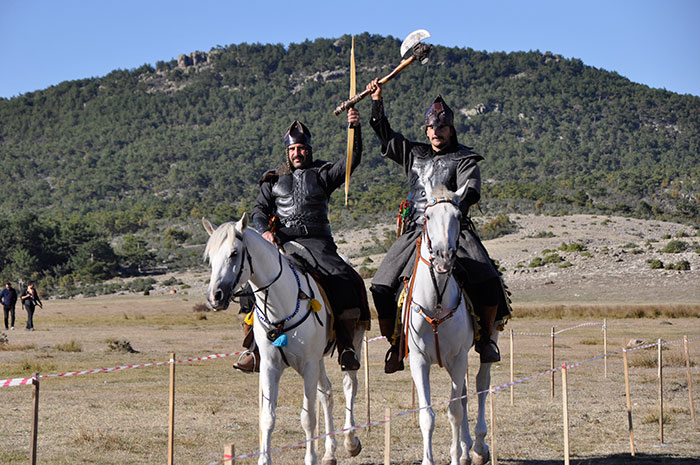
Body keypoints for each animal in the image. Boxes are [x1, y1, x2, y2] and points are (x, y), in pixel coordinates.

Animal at [202, 215, 364, 464]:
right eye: (210, 258)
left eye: (234, 253)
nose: (215, 297)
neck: (281, 303)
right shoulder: (270, 367)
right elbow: (268, 418)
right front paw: (264, 459)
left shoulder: (308, 366)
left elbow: (308, 418)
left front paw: (310, 458)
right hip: (319, 360)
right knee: (326, 393)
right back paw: (329, 452)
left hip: (354, 342)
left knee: (349, 385)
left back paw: (351, 441)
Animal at [402, 185, 494, 464]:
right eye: (427, 216)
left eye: (458, 216)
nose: (444, 257)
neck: (437, 302)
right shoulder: (419, 360)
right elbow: (427, 415)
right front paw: (429, 459)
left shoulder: (458, 356)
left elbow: (454, 409)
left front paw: (456, 456)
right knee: (464, 394)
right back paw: (466, 448)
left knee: (480, 385)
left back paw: (478, 447)